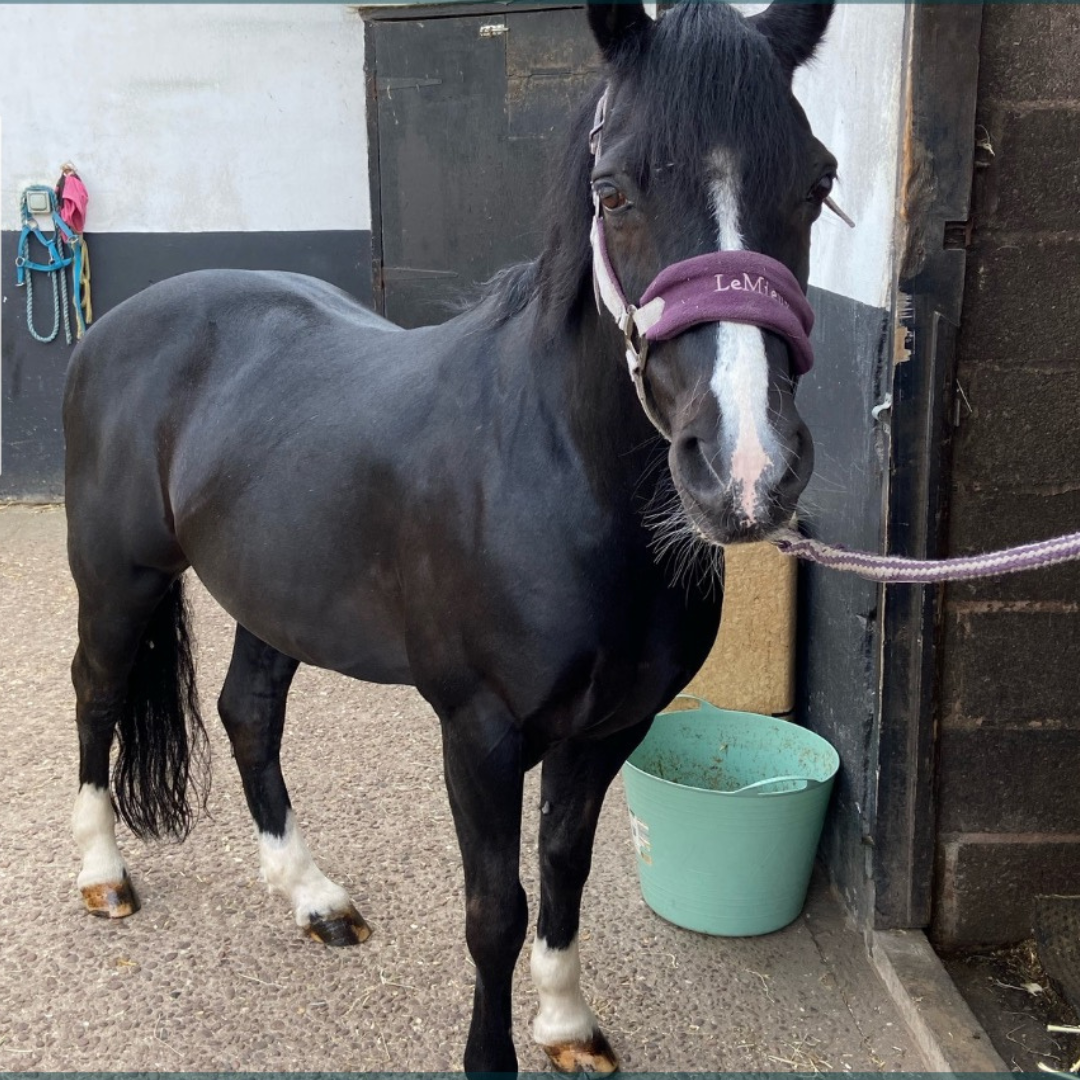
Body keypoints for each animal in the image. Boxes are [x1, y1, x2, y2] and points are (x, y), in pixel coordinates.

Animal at [63, 2, 836, 1072]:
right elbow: (495, 910)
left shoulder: (610, 728)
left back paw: (312, 897)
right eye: (613, 190)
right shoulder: (480, 732)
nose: (747, 467)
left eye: (818, 183)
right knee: (96, 694)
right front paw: (494, 1053)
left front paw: (567, 1025)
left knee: (248, 714)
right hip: (118, 578)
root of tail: (117, 324)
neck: (556, 476)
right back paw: (103, 874)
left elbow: (564, 874)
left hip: (275, 596)